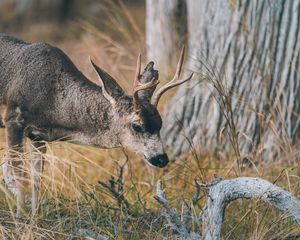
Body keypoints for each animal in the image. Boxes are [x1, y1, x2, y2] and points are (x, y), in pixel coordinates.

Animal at [0, 33, 192, 216]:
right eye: (137, 125)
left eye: (160, 123)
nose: (161, 158)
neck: (53, 103)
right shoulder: (14, 118)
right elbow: (17, 173)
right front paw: (20, 218)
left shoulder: (37, 134)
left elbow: (36, 177)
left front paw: (34, 216)